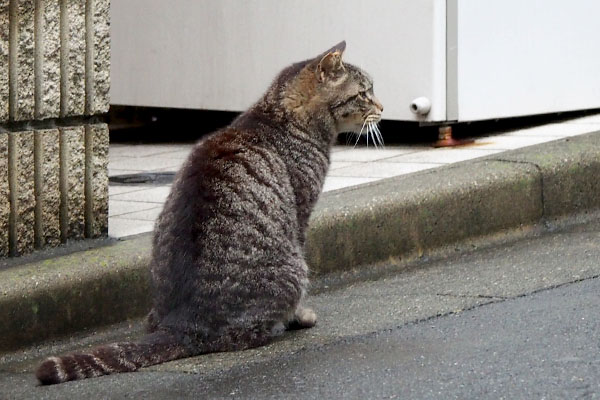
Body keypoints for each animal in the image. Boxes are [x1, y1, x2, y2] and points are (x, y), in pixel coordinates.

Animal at [37, 40, 382, 384]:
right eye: (365, 93)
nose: (382, 107)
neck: (279, 115)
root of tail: (184, 324)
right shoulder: (300, 213)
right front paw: (301, 316)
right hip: (294, 269)